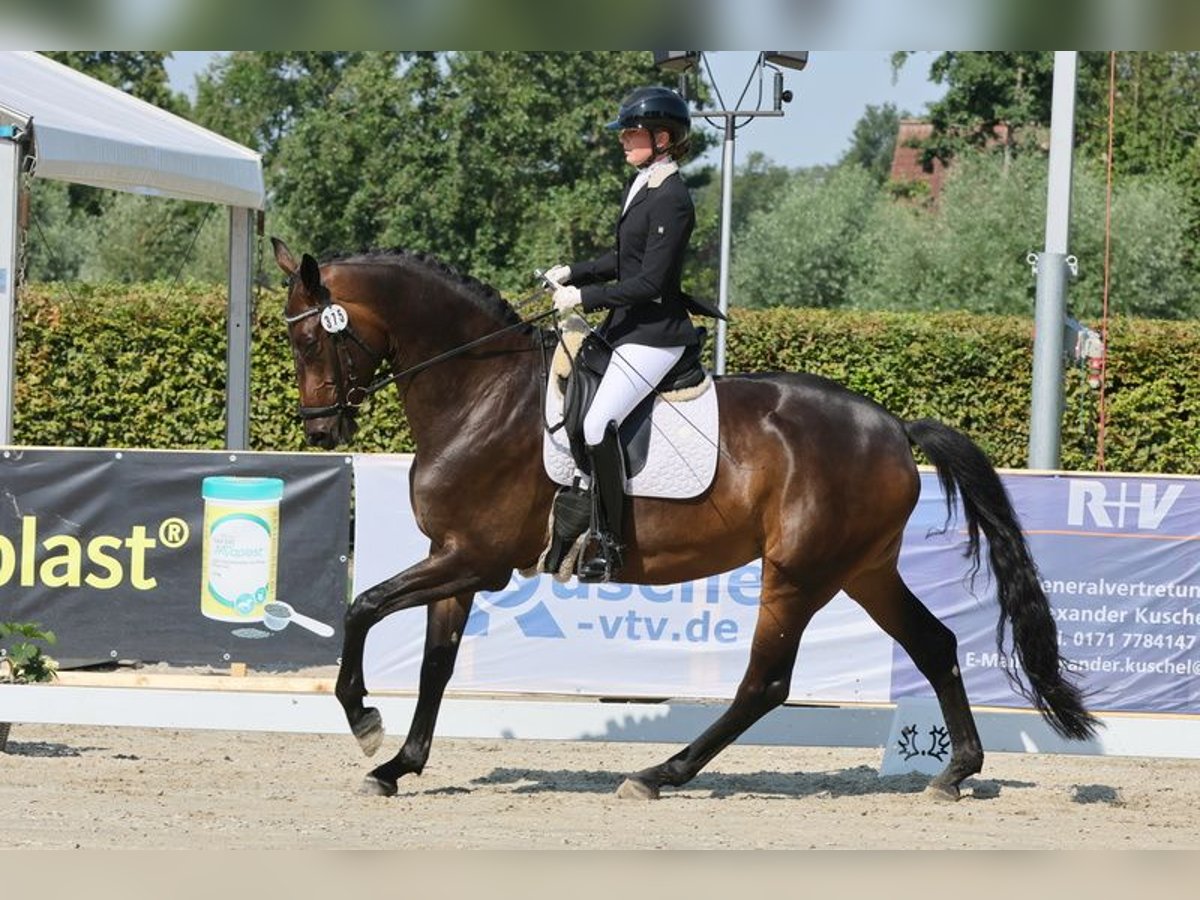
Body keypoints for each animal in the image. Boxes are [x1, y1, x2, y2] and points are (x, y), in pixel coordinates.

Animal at [272, 240, 1099, 801]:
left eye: (309, 337)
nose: (320, 429)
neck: (480, 393)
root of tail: (894, 425)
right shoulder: (458, 557)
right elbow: (436, 665)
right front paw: (397, 765)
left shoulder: (473, 557)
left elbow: (362, 606)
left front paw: (364, 723)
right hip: (862, 569)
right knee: (933, 644)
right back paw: (955, 771)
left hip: (798, 572)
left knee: (766, 683)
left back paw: (659, 773)